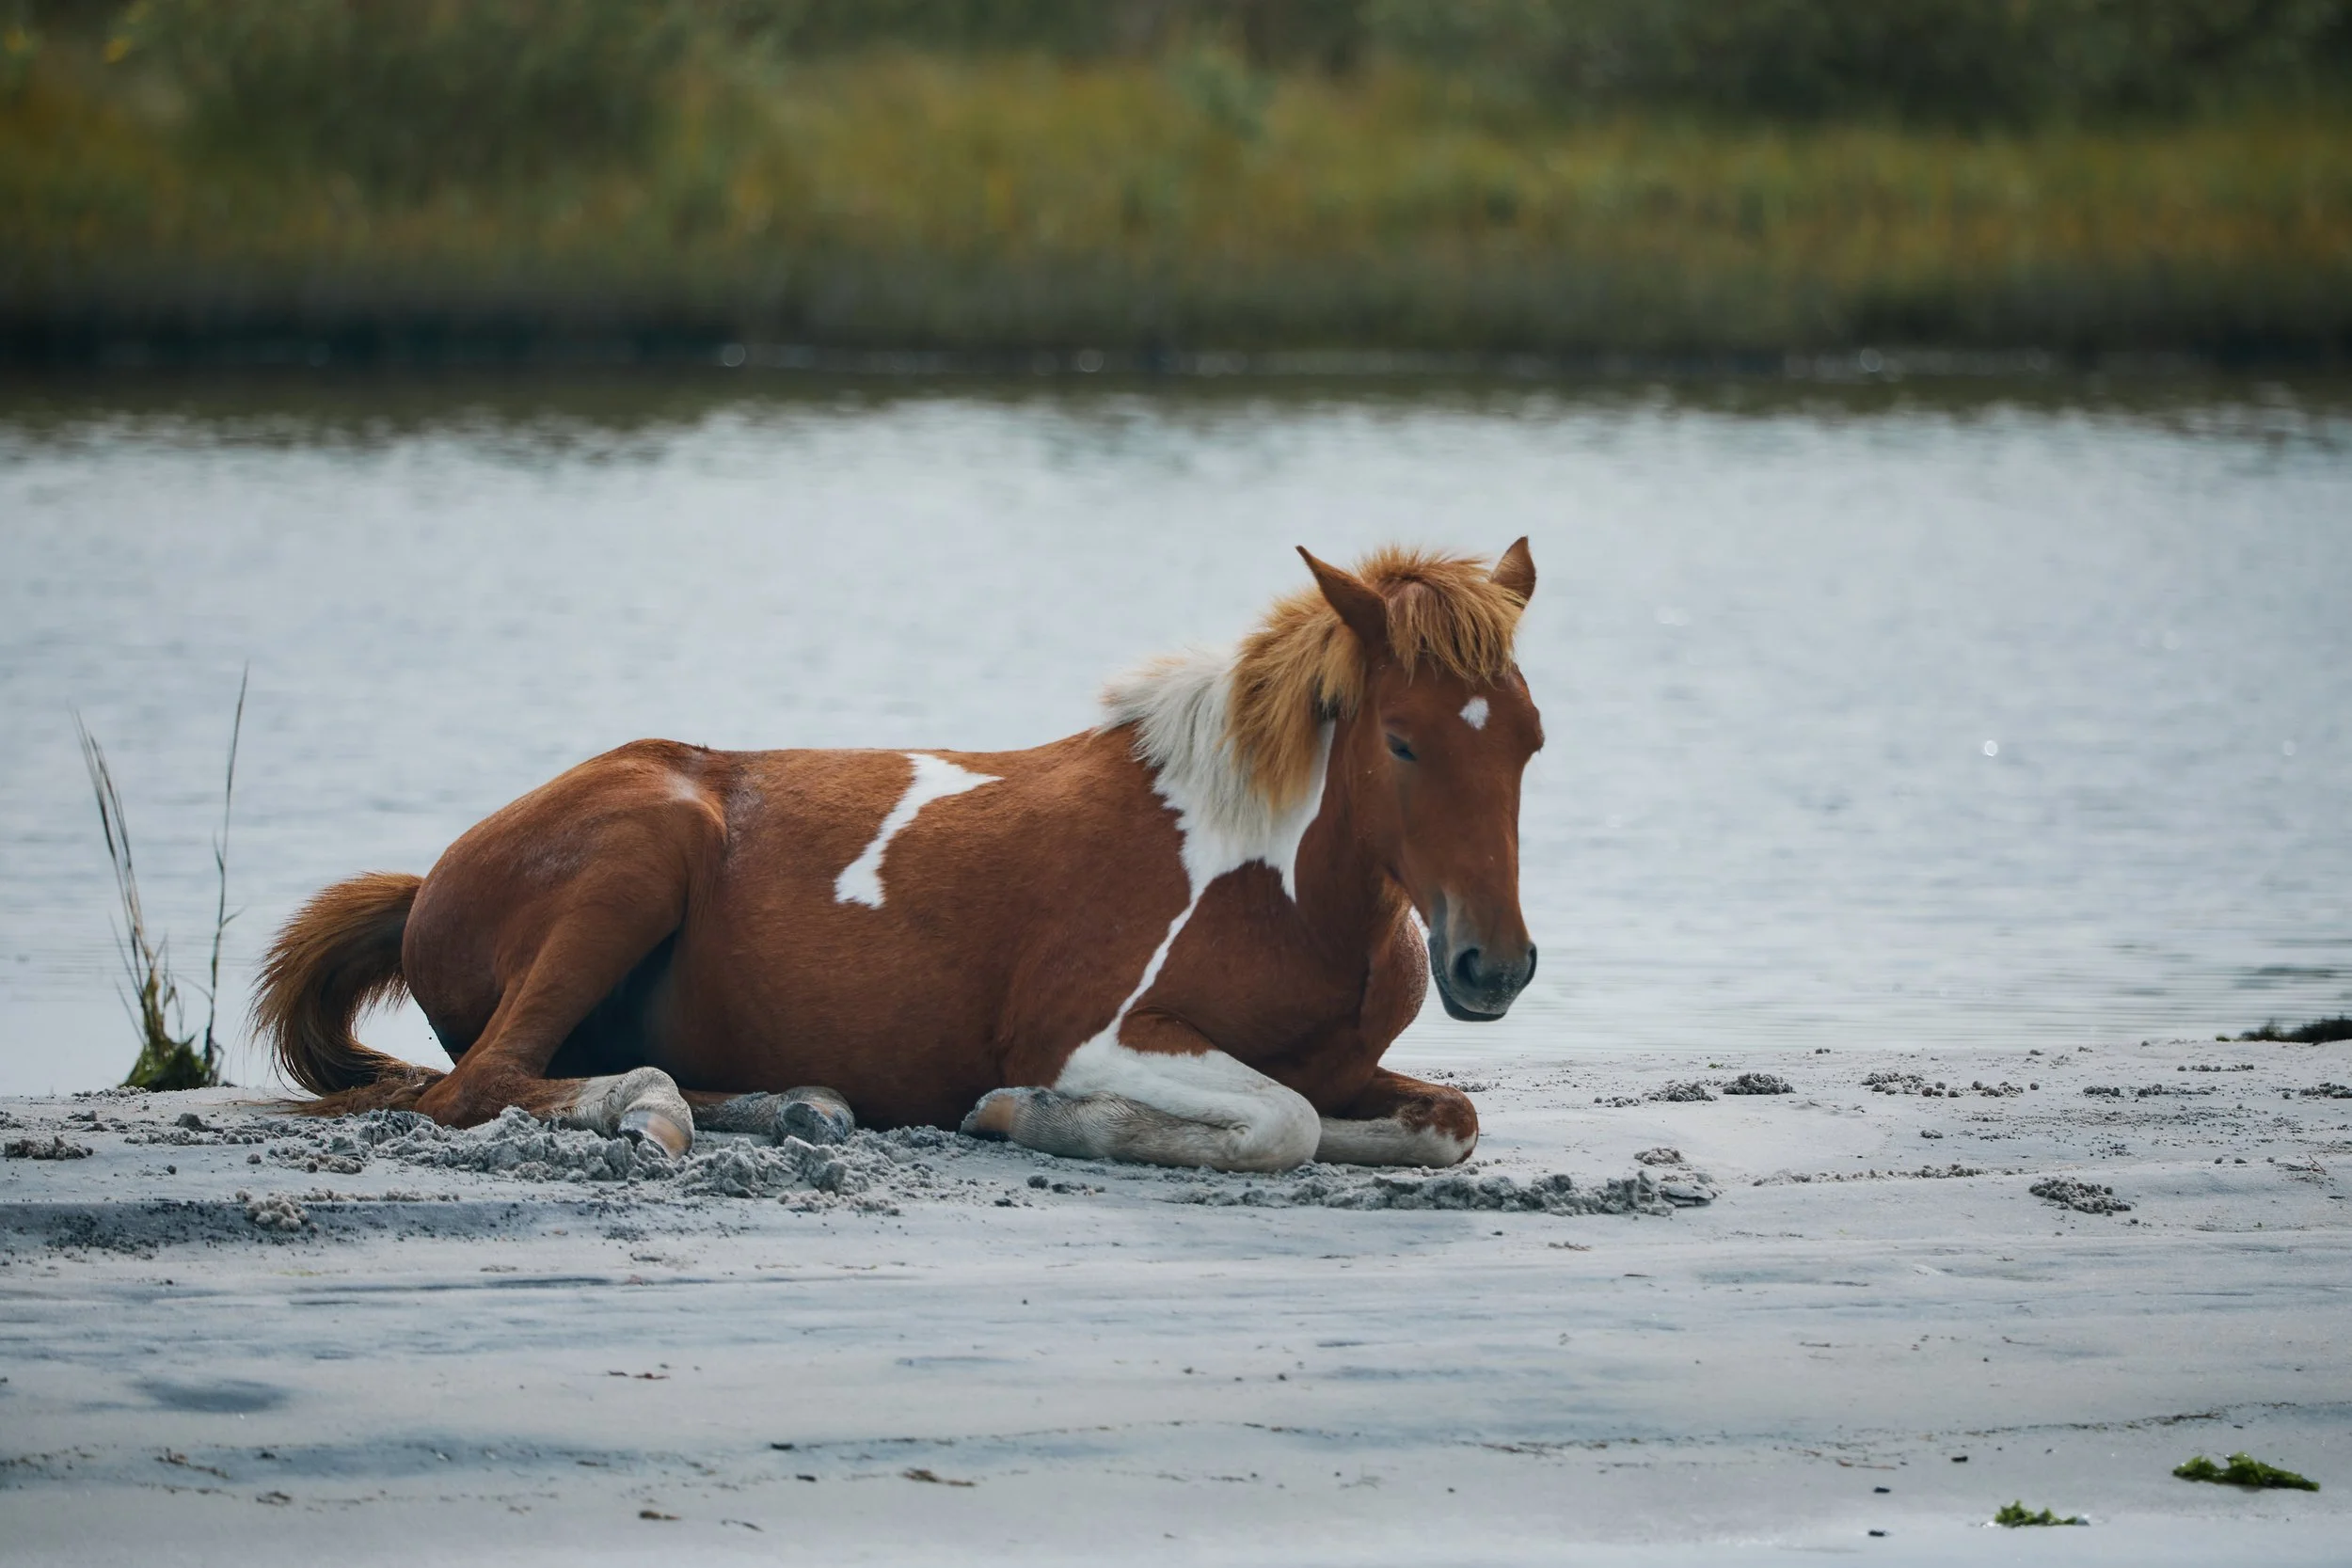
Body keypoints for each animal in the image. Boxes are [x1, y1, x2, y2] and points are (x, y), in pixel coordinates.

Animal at [255, 541, 1543, 1172]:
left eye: (1530, 736)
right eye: (1402, 740)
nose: (1492, 965)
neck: (1275, 886)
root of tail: (430, 881)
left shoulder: (1346, 1065)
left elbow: (1437, 1120)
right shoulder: (1093, 1032)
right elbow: (1281, 1124)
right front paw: (1028, 1114)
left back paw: (791, 1104)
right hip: (639, 851)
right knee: (479, 1085)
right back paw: (656, 1110)